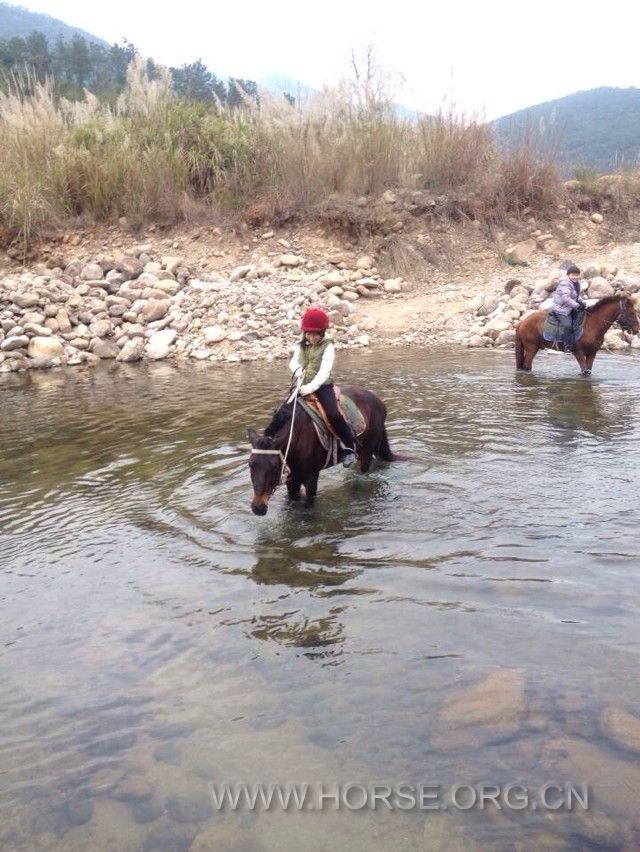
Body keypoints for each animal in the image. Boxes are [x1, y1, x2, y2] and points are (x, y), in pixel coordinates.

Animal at [249, 386, 396, 512]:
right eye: (251, 465)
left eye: (274, 467)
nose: (258, 508)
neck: (296, 435)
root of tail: (379, 401)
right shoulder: (292, 479)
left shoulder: (311, 477)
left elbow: (308, 506)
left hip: (367, 451)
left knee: (362, 475)